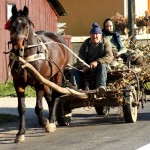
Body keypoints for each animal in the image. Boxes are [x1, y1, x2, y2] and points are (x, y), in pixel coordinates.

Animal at [8, 4, 68, 143]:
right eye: (12, 25)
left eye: (26, 26)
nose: (17, 49)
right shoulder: (18, 83)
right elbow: (21, 108)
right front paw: (20, 133)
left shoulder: (39, 82)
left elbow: (38, 107)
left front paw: (45, 122)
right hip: (47, 79)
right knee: (50, 98)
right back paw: (52, 119)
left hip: (57, 75)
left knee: (55, 96)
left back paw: (51, 122)